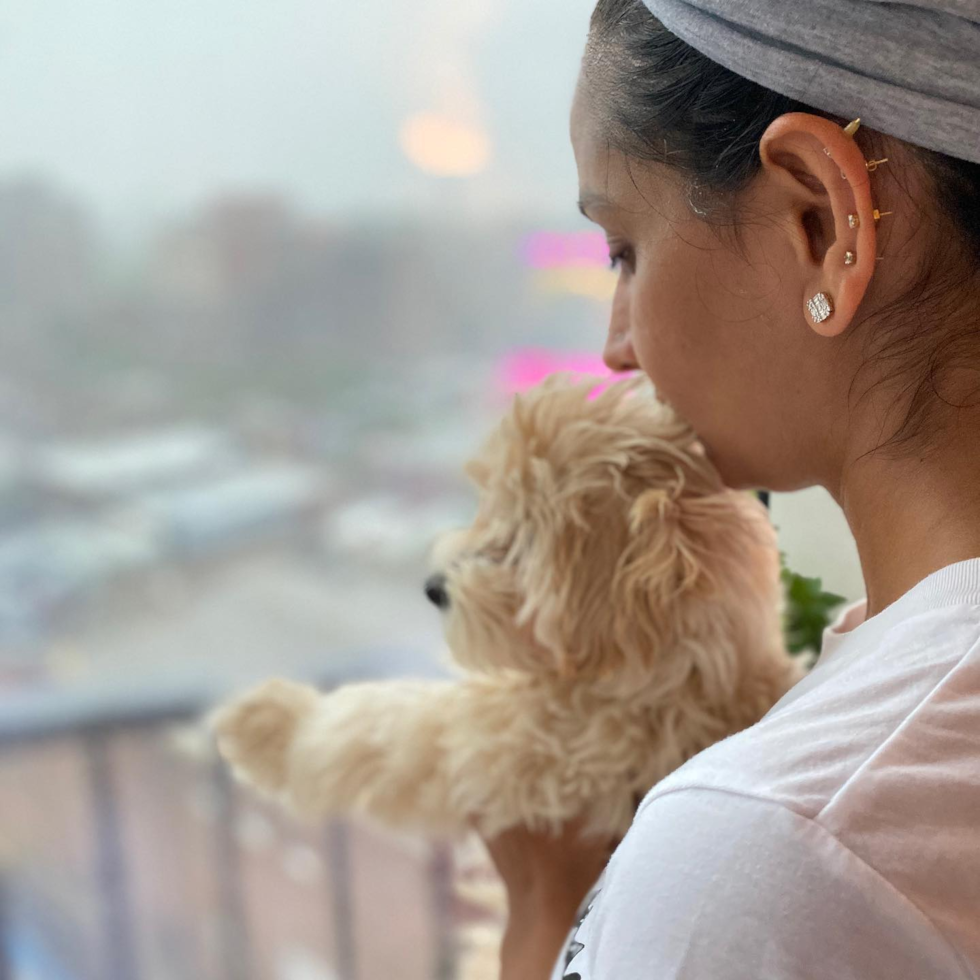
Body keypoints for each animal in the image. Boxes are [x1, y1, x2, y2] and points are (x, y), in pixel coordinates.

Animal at [209, 376, 804, 844]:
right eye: (492, 514)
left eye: (524, 543)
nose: (434, 586)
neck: (676, 677)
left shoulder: (504, 749)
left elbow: (382, 725)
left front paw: (272, 722)